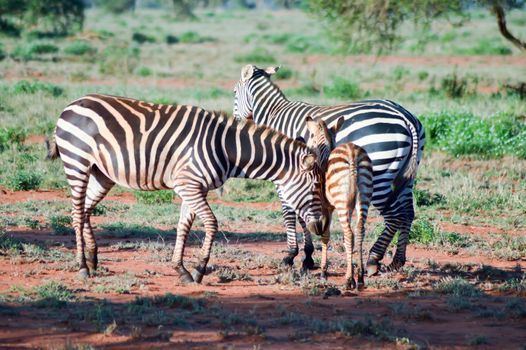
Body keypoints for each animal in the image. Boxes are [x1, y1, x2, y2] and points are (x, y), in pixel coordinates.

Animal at [47, 93, 328, 284]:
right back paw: (83, 267)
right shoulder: (189, 185)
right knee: (76, 213)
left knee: (84, 210)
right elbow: (212, 223)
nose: (320, 227)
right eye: (315, 187)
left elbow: (184, 226)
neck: (226, 147)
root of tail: (71, 104)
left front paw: (180, 270)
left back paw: (93, 258)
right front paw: (199, 269)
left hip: (101, 173)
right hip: (77, 163)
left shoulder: (193, 188)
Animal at [233, 64, 426, 274]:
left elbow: (289, 212)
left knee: (394, 216)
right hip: (406, 175)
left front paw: (291, 255)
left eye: (234, 92)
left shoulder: (286, 174)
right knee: (408, 213)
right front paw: (308, 256)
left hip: (380, 174)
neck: (274, 114)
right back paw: (397, 261)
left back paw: (373, 259)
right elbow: (303, 212)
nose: (235, 122)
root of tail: (404, 116)